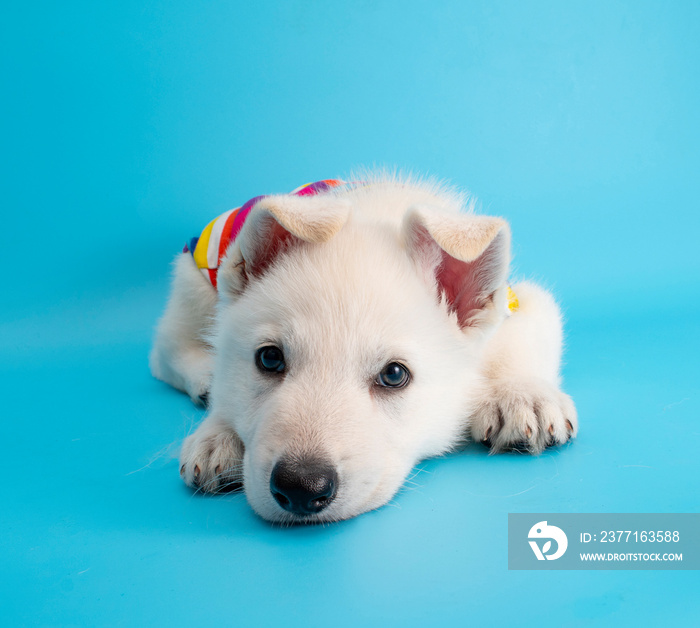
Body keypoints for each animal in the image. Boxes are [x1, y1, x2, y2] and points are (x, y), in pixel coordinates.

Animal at [150, 174, 576, 524]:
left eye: (394, 374)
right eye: (269, 358)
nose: (300, 488)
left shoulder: (522, 303)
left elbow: (522, 340)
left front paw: (523, 397)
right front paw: (217, 434)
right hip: (195, 283)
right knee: (165, 348)